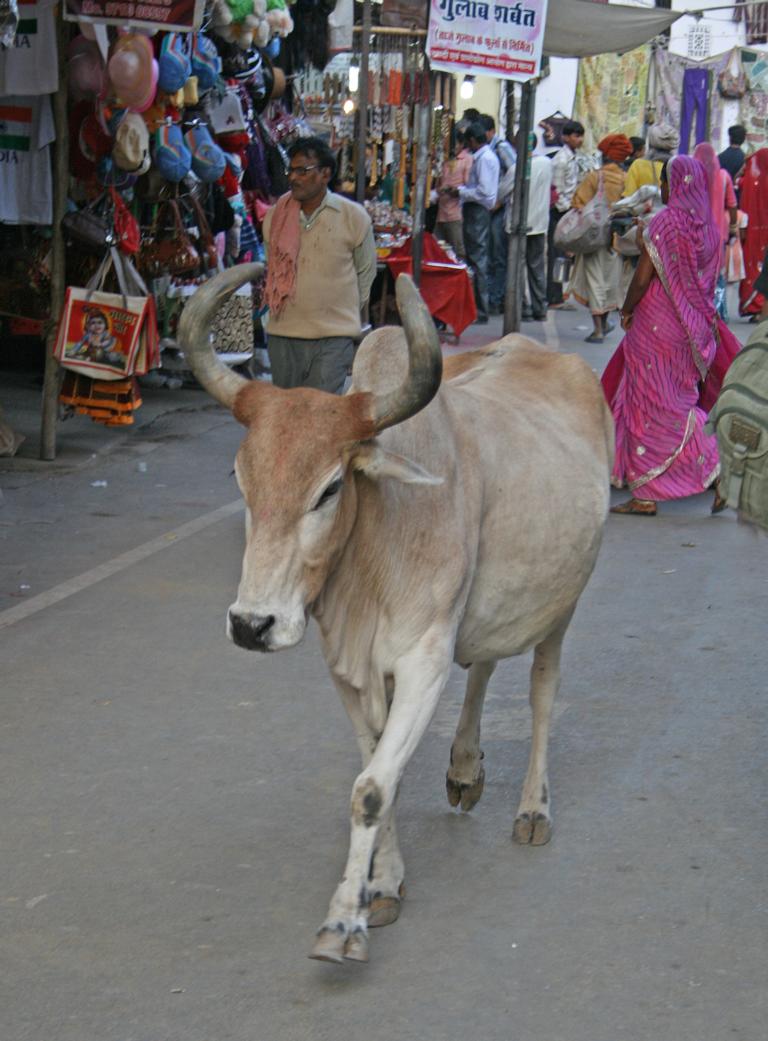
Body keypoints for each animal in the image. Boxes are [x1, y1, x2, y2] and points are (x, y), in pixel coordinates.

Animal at [177, 264, 611, 961]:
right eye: (240, 478)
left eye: (330, 488)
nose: (251, 624)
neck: (376, 547)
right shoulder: (349, 669)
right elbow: (383, 773)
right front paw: (382, 885)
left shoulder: (422, 661)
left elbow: (372, 787)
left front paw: (342, 922)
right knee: (484, 664)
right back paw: (464, 768)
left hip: (563, 603)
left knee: (543, 692)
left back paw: (533, 808)